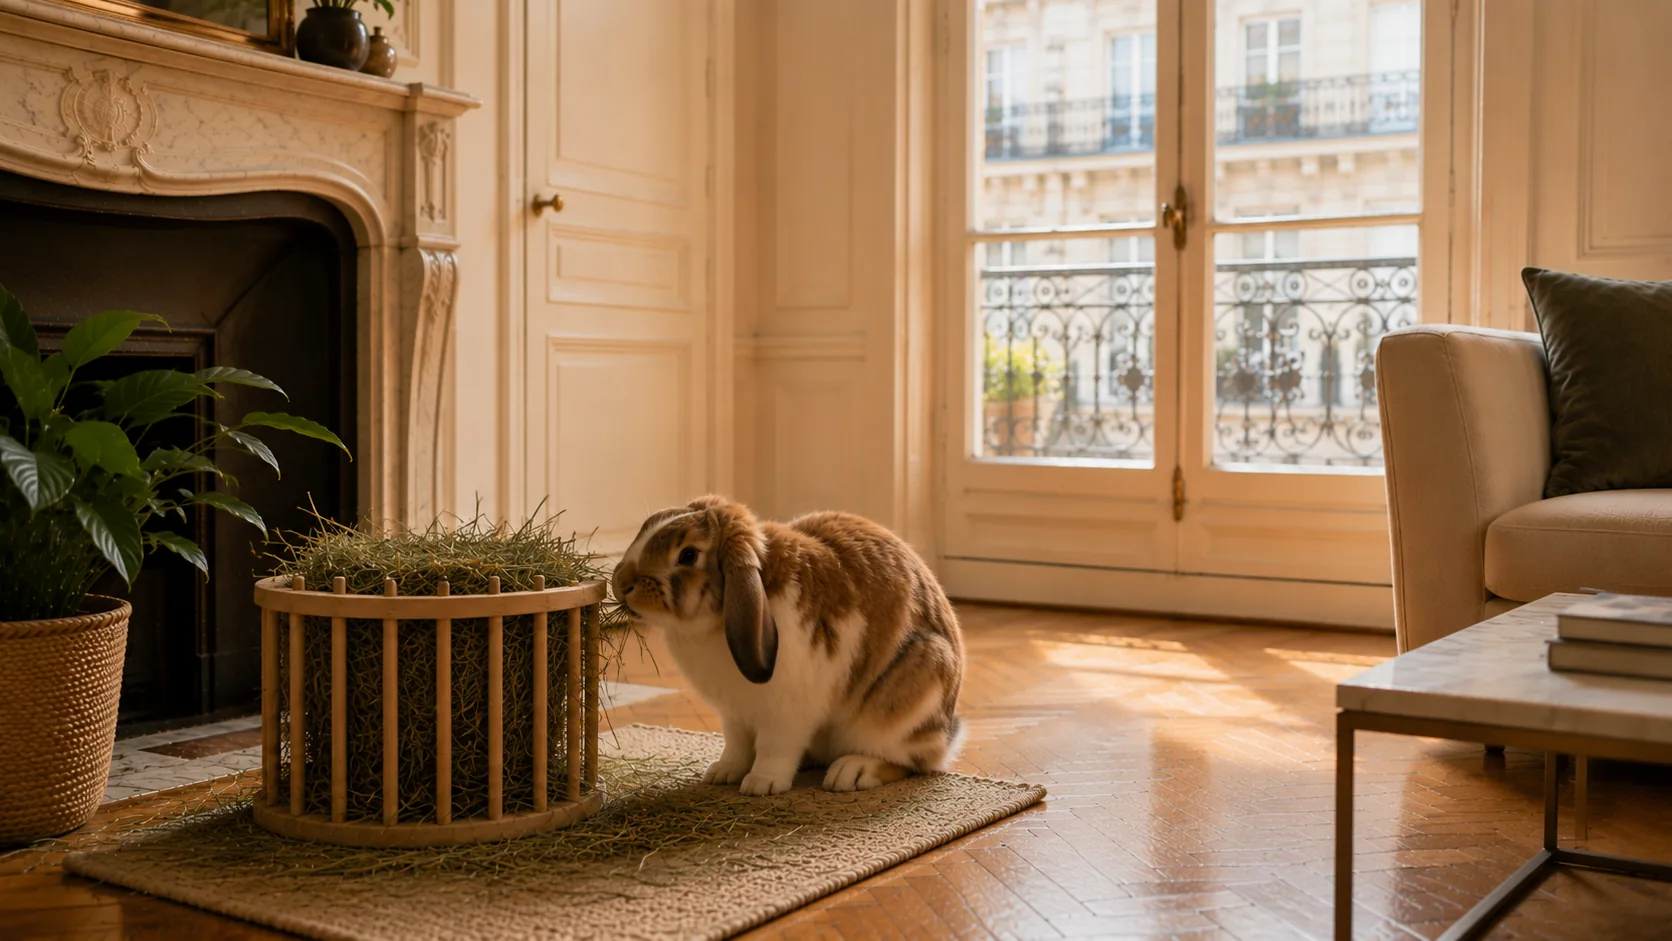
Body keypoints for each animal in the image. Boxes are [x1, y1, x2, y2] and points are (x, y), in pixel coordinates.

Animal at [611, 495, 966, 796]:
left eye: (687, 554)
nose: (620, 583)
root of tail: (947, 732)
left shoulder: (786, 713)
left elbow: (774, 748)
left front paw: (761, 784)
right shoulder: (734, 715)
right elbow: (736, 746)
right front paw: (723, 773)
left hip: (907, 696)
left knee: (911, 761)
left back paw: (851, 772)